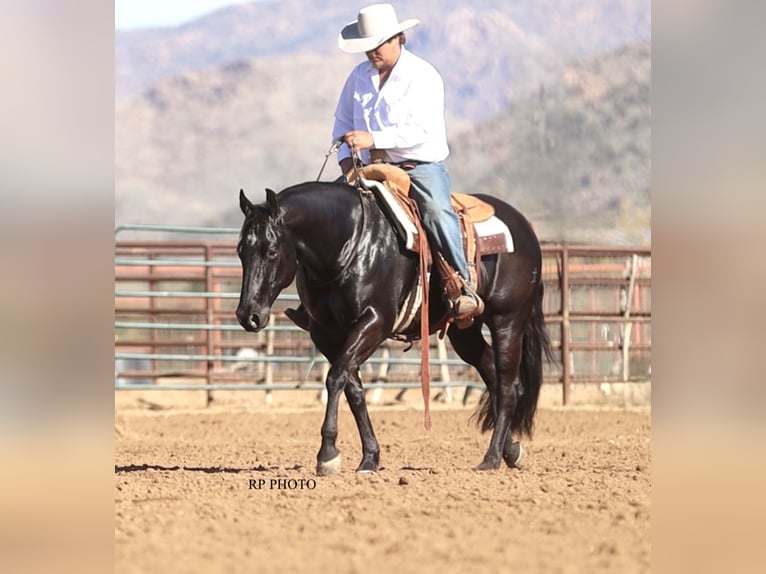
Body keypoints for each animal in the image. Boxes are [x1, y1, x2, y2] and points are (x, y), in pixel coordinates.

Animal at [236, 181, 553, 475]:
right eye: (240, 251)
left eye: (271, 251)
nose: (248, 315)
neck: (348, 243)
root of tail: (524, 228)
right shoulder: (327, 334)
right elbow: (353, 387)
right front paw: (370, 457)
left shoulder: (375, 322)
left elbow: (336, 377)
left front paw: (327, 454)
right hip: (464, 331)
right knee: (491, 373)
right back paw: (511, 450)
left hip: (507, 321)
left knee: (509, 385)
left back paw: (491, 458)